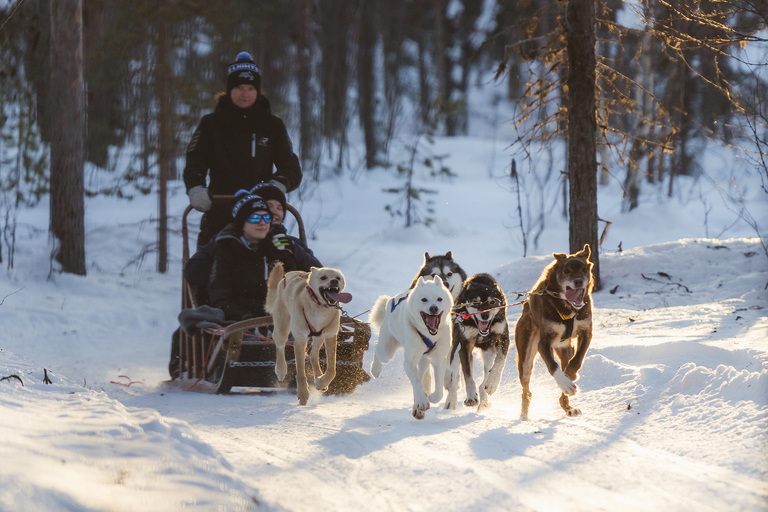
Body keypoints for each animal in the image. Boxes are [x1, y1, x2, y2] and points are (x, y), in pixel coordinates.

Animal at [262, 264, 350, 404]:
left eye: (338, 278)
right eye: (323, 277)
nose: (334, 281)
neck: (319, 308)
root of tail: (288, 276)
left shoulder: (330, 336)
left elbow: (332, 370)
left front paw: (321, 381)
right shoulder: (300, 340)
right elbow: (300, 373)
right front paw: (303, 394)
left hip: (319, 337)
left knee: (313, 355)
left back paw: (319, 377)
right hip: (282, 328)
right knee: (279, 345)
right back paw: (281, 369)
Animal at [368, 276, 452, 416]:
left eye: (439, 299)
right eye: (424, 299)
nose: (433, 308)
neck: (428, 334)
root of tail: (391, 301)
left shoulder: (439, 358)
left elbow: (439, 391)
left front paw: (431, 397)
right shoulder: (409, 361)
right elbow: (416, 381)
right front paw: (422, 401)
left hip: (424, 359)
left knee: (421, 374)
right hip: (386, 351)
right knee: (377, 348)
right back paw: (375, 369)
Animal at [444, 274, 510, 410]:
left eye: (492, 302)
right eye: (475, 302)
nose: (485, 316)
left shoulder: (503, 339)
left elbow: (500, 361)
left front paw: (492, 384)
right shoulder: (464, 347)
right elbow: (468, 376)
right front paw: (471, 397)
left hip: (488, 353)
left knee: (486, 373)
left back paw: (484, 400)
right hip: (456, 351)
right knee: (455, 377)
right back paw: (451, 401)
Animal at [516, 244, 592, 420]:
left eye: (584, 269)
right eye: (566, 271)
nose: (578, 281)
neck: (568, 309)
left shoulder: (586, 332)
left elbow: (577, 360)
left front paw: (571, 375)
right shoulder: (543, 343)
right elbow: (553, 366)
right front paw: (565, 382)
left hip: (565, 349)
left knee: (566, 364)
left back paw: (568, 407)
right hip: (526, 357)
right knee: (526, 390)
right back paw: (524, 416)